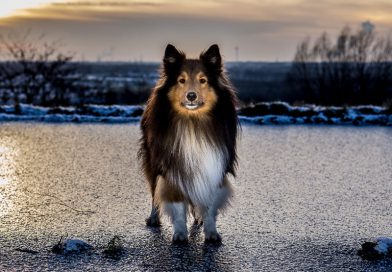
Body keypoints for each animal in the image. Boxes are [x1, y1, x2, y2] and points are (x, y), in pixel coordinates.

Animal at [139, 43, 240, 243]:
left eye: (203, 80)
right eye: (181, 80)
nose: (191, 96)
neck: (193, 123)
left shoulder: (214, 165)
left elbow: (209, 205)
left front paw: (211, 232)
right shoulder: (172, 166)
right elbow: (177, 203)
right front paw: (179, 234)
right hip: (153, 161)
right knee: (155, 192)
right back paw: (154, 217)